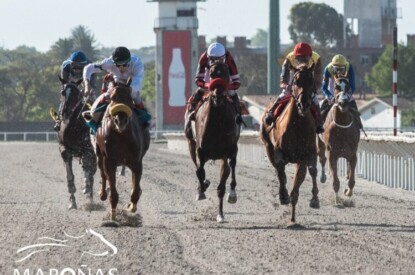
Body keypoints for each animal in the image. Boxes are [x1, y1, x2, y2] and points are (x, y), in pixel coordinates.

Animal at [51, 76, 97, 210]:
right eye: (62, 92)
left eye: (77, 93)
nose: (65, 112)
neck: (73, 125)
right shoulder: (64, 148)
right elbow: (69, 175)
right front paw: (72, 201)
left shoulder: (88, 151)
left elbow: (89, 173)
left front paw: (88, 196)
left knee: (91, 172)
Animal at [94, 78, 151, 224]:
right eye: (112, 98)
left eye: (130, 98)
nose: (121, 121)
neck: (121, 136)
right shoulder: (109, 161)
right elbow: (113, 191)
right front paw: (113, 216)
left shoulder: (137, 162)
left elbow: (135, 190)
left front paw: (132, 207)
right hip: (99, 155)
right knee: (103, 174)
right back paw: (102, 193)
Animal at [184, 61, 240, 223]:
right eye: (213, 73)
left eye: (226, 73)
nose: (218, 95)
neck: (216, 123)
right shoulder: (200, 151)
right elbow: (199, 171)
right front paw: (202, 189)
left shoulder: (230, 150)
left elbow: (229, 172)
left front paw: (231, 195)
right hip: (190, 143)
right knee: (197, 166)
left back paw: (220, 213)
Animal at [260, 65, 322, 226]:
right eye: (296, 81)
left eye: (311, 81)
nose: (304, 103)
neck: (298, 124)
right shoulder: (279, 153)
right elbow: (281, 171)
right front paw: (283, 196)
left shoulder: (306, 155)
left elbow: (310, 172)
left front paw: (314, 200)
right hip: (268, 147)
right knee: (277, 169)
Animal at [318, 76, 360, 206]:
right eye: (336, 87)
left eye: (348, 87)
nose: (343, 102)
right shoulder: (332, 153)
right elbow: (335, 180)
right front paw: (337, 200)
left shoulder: (352, 154)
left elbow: (351, 180)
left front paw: (348, 193)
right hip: (320, 144)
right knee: (322, 159)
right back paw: (323, 177)